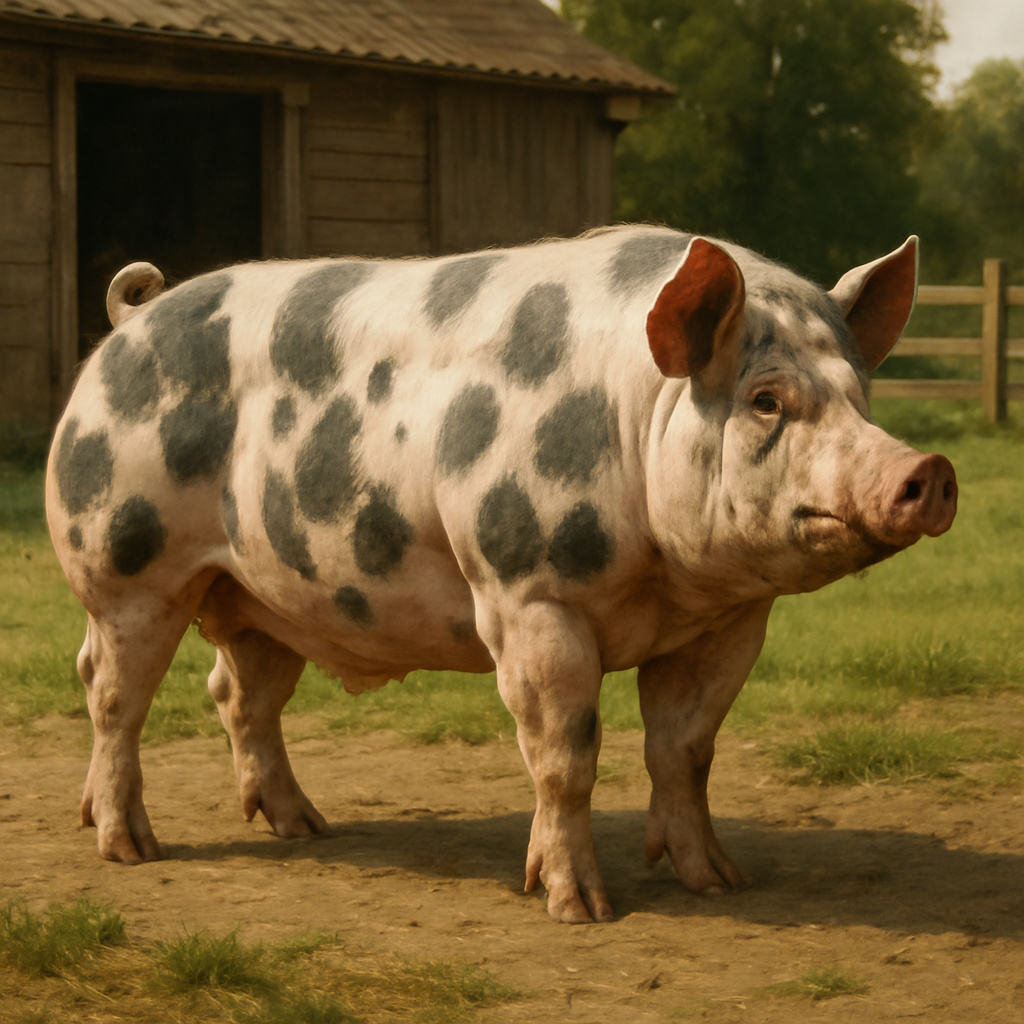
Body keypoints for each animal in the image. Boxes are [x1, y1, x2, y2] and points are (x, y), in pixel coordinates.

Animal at [45, 226, 957, 923]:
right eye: (766, 399)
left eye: (859, 393)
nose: (928, 470)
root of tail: (129, 319)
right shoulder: (528, 589)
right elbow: (565, 752)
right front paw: (579, 908)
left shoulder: (727, 622)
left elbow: (686, 748)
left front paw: (718, 882)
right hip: (124, 564)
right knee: (111, 693)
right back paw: (129, 848)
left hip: (264, 594)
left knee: (238, 693)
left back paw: (306, 829)